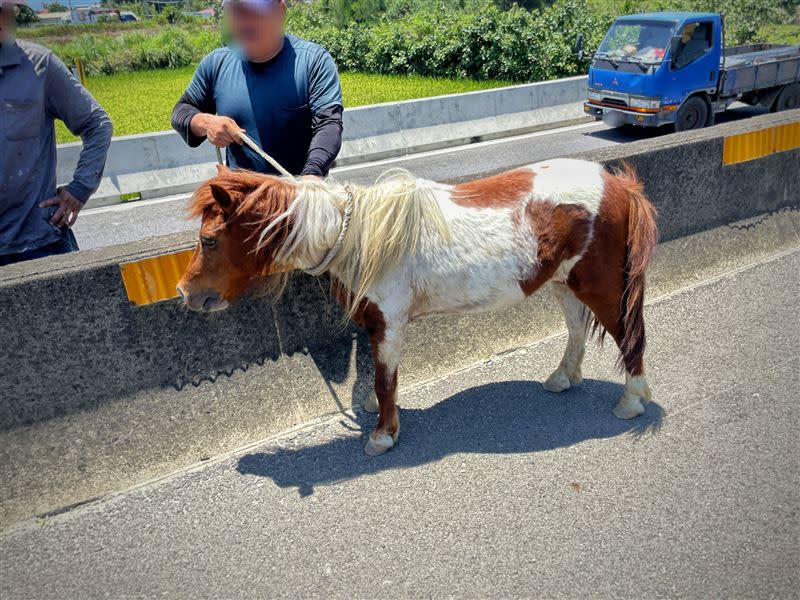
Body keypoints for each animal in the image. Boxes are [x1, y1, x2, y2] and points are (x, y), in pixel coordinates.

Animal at [180, 158, 656, 454]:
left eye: (209, 240)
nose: (186, 293)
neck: (358, 236)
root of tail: (619, 185)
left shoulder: (389, 324)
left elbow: (385, 381)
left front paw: (383, 435)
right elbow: (378, 378)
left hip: (602, 287)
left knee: (630, 338)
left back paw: (631, 402)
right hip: (563, 282)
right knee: (576, 331)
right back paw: (562, 379)